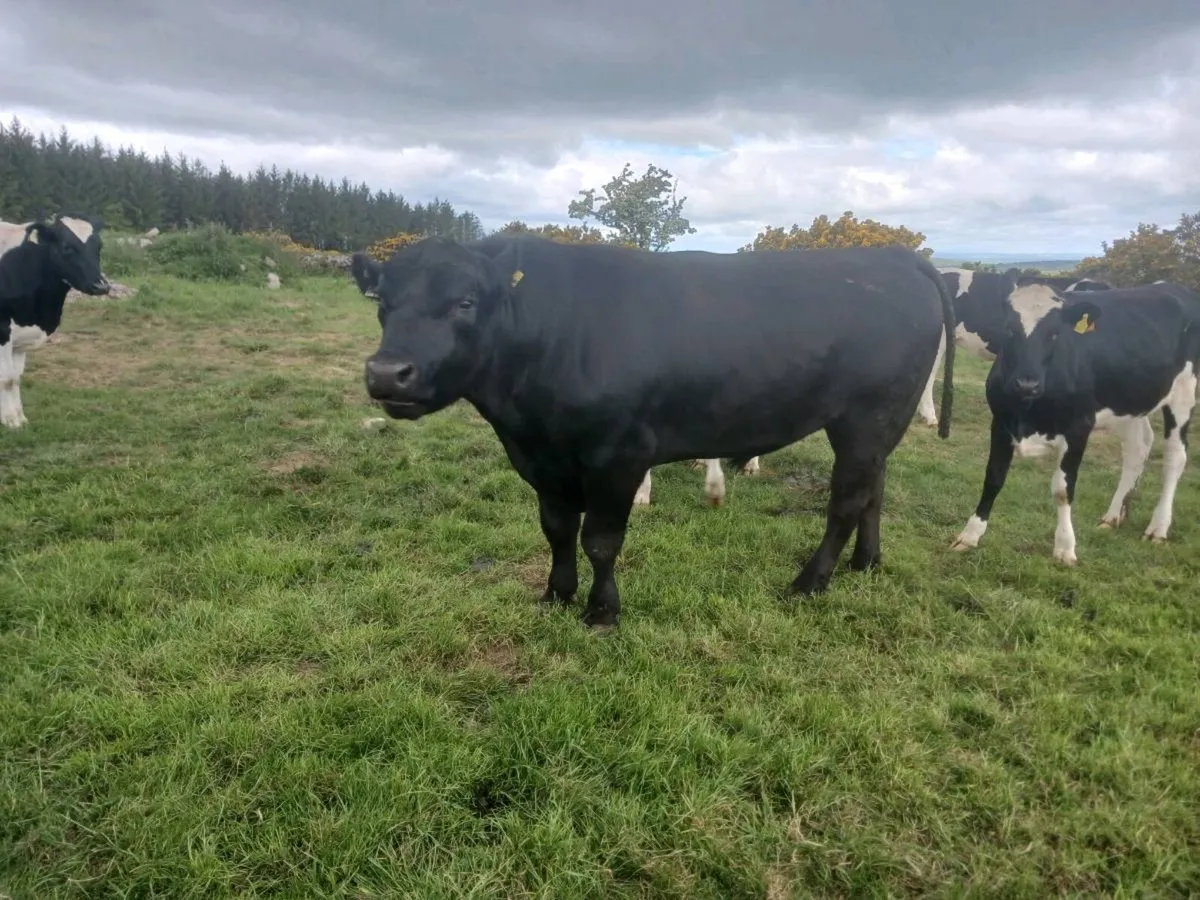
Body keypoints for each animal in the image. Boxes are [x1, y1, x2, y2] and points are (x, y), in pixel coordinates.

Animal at [0, 216, 110, 428]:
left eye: (99, 246)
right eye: (67, 247)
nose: (101, 286)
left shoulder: (20, 337)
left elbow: (16, 378)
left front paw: (21, 418)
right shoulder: (2, 332)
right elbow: (6, 379)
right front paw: (10, 421)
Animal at [950, 282, 1200, 565]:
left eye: (1055, 333)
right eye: (1010, 329)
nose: (1027, 384)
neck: (1028, 411)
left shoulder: (1079, 428)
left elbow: (1062, 489)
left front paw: (1065, 547)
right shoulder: (1001, 423)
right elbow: (993, 477)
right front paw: (970, 535)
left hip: (1183, 394)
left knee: (1175, 457)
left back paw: (1158, 527)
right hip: (1129, 402)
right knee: (1138, 449)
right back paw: (1112, 516)